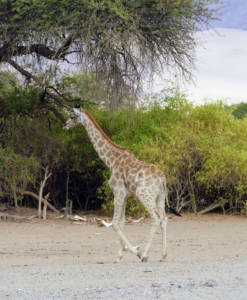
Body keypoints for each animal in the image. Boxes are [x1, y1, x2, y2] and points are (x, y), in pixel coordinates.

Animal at [62, 108, 180, 262]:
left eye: (72, 116)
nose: (64, 126)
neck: (111, 161)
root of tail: (162, 179)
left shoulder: (118, 193)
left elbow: (114, 224)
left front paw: (136, 252)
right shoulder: (125, 196)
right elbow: (122, 223)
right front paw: (119, 256)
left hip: (145, 195)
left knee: (156, 218)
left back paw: (145, 254)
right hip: (159, 197)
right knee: (164, 219)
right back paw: (163, 256)